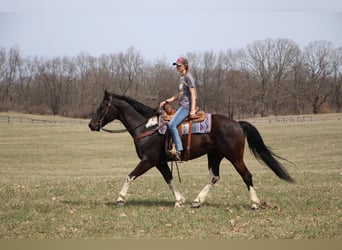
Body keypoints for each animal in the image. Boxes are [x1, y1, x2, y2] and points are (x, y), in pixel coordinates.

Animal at [89, 91, 294, 208]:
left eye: (102, 106)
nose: (91, 124)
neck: (148, 127)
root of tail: (237, 123)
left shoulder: (148, 160)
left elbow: (130, 176)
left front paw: (120, 199)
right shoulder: (160, 162)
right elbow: (169, 179)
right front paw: (180, 200)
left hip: (234, 157)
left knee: (247, 175)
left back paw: (254, 203)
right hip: (215, 155)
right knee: (214, 177)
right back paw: (197, 201)